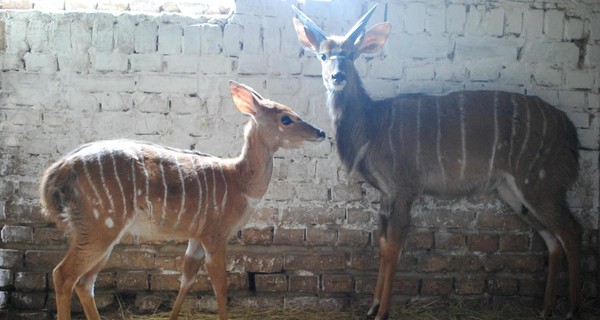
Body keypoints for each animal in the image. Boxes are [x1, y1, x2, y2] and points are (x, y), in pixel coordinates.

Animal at [39, 80, 326, 320]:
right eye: (286, 118)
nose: (321, 132)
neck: (240, 183)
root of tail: (59, 171)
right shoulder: (214, 235)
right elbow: (220, 286)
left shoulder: (196, 237)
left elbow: (186, 278)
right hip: (99, 228)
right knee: (63, 275)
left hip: (102, 234)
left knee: (85, 281)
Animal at [292, 5, 584, 320]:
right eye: (323, 55)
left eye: (352, 54)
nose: (338, 76)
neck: (373, 125)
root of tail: (569, 129)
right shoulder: (386, 193)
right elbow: (382, 244)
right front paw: (371, 307)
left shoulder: (404, 190)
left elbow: (393, 247)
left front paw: (382, 312)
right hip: (514, 192)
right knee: (552, 238)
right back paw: (544, 309)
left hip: (541, 184)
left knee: (571, 230)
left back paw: (572, 310)